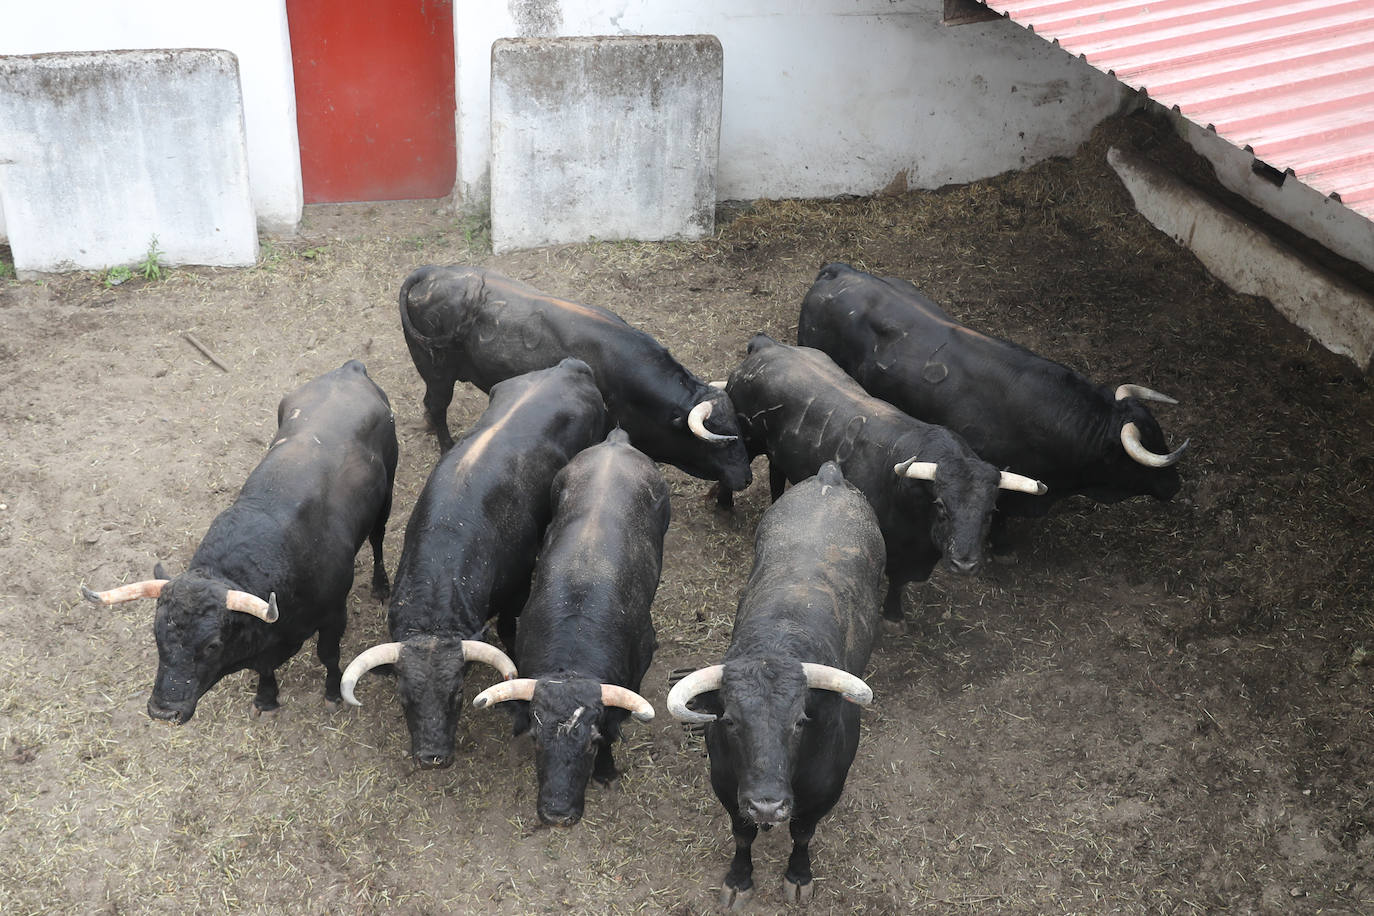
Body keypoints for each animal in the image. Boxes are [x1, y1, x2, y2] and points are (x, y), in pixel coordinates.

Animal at [83, 362, 398, 725]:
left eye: (212, 645)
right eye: (156, 635)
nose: (163, 710)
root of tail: (350, 370)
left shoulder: (334, 615)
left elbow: (329, 656)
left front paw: (332, 693)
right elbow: (264, 668)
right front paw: (266, 698)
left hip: (386, 497)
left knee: (378, 540)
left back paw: (380, 585)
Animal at [398, 265, 752, 494]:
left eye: (738, 426)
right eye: (721, 439)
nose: (746, 478)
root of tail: (433, 271)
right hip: (437, 370)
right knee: (437, 404)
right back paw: (445, 445)